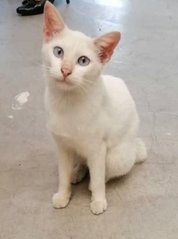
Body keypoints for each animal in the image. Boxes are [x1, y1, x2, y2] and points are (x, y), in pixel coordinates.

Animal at [42, 1, 147, 215]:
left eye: (83, 61)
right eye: (58, 52)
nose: (65, 70)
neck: (68, 103)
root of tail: (135, 148)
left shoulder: (98, 149)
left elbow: (98, 177)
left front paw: (98, 200)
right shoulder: (62, 147)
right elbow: (62, 175)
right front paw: (63, 194)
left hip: (116, 156)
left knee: (105, 172)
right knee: (83, 163)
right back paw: (77, 172)